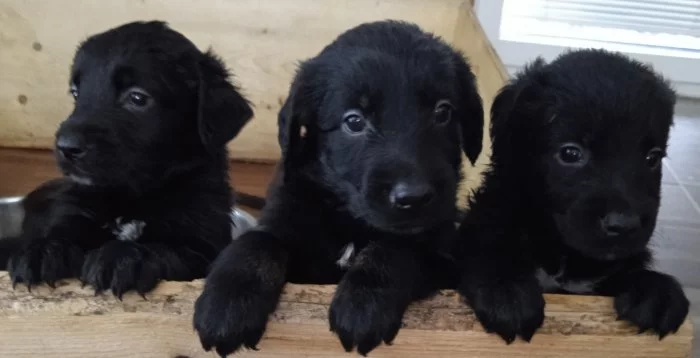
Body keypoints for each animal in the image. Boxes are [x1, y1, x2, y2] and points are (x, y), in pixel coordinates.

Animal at [5, 21, 253, 298]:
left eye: (137, 98)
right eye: (76, 93)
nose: (66, 147)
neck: (133, 194)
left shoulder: (202, 247)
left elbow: (169, 249)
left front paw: (122, 257)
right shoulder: (76, 204)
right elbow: (62, 229)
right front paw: (43, 251)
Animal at [194, 21, 484, 356]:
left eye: (443, 112)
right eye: (354, 121)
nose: (414, 197)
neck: (350, 217)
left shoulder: (444, 257)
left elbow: (398, 247)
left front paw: (363, 303)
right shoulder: (286, 216)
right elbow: (258, 243)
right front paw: (227, 302)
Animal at [454, 49, 688, 342]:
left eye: (652, 158)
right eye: (570, 153)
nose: (624, 225)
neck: (563, 255)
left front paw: (654, 289)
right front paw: (506, 289)